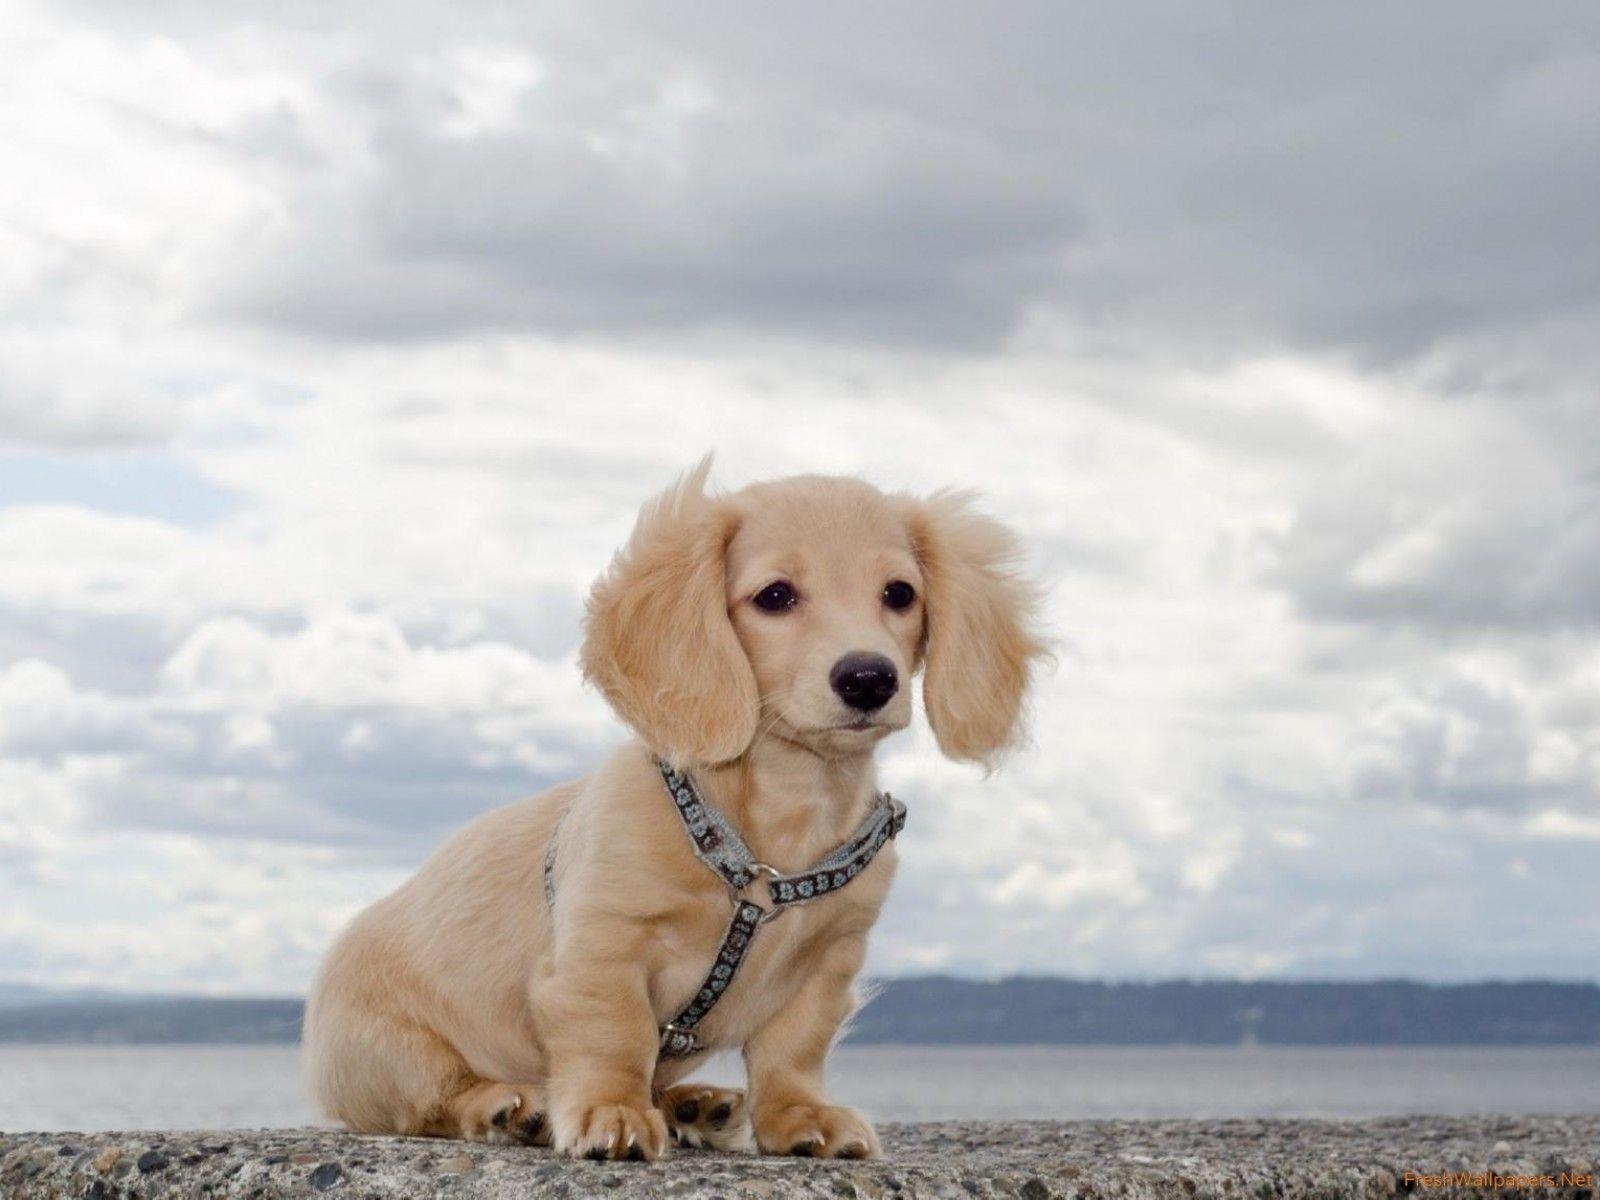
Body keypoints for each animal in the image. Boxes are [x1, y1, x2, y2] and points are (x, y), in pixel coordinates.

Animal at [304, 457, 1043, 1158]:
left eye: (900, 594)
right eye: (775, 596)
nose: (868, 678)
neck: (770, 838)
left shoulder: (829, 961)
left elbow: (794, 1049)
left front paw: (799, 1116)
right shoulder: (604, 947)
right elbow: (616, 1034)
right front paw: (613, 1111)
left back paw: (694, 1103)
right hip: (393, 1053)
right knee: (430, 1102)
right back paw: (504, 1107)